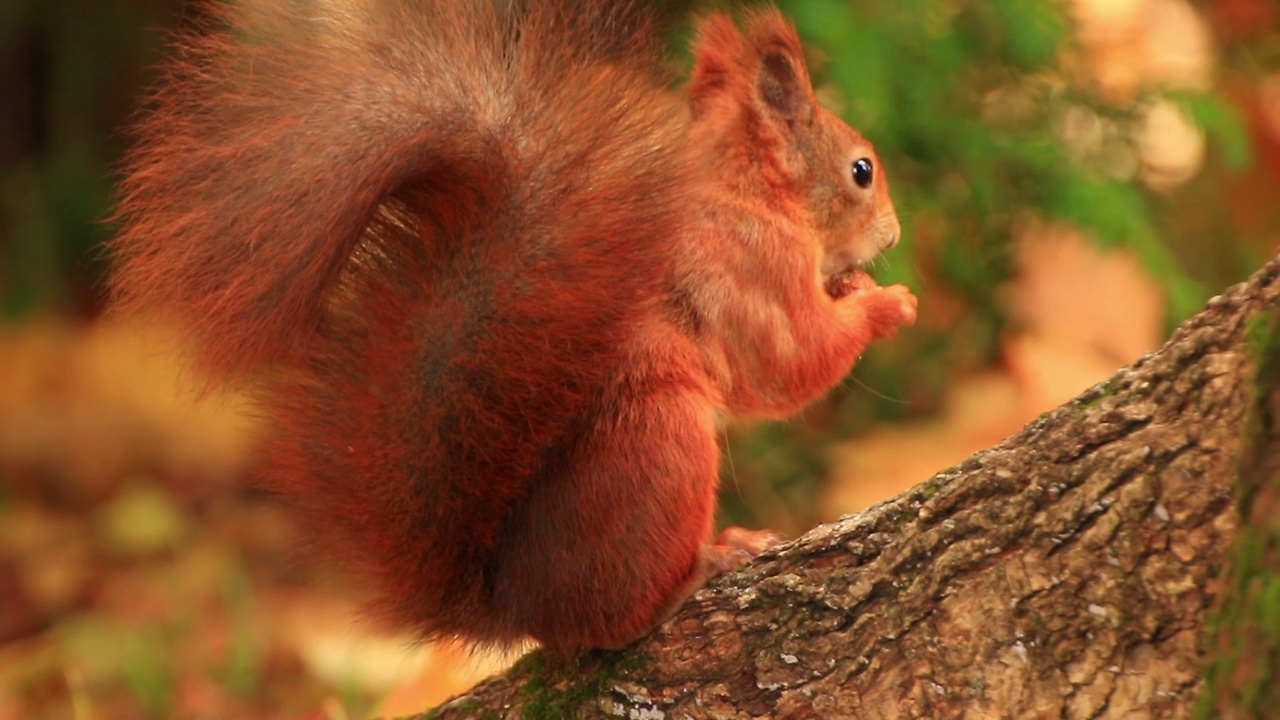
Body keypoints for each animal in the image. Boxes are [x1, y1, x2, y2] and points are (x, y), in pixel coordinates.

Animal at [104, 0, 916, 650]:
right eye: (862, 170)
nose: (896, 233)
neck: (747, 188)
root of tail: (520, 609)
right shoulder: (752, 270)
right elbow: (791, 362)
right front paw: (888, 302)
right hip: (660, 444)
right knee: (616, 623)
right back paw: (706, 563)